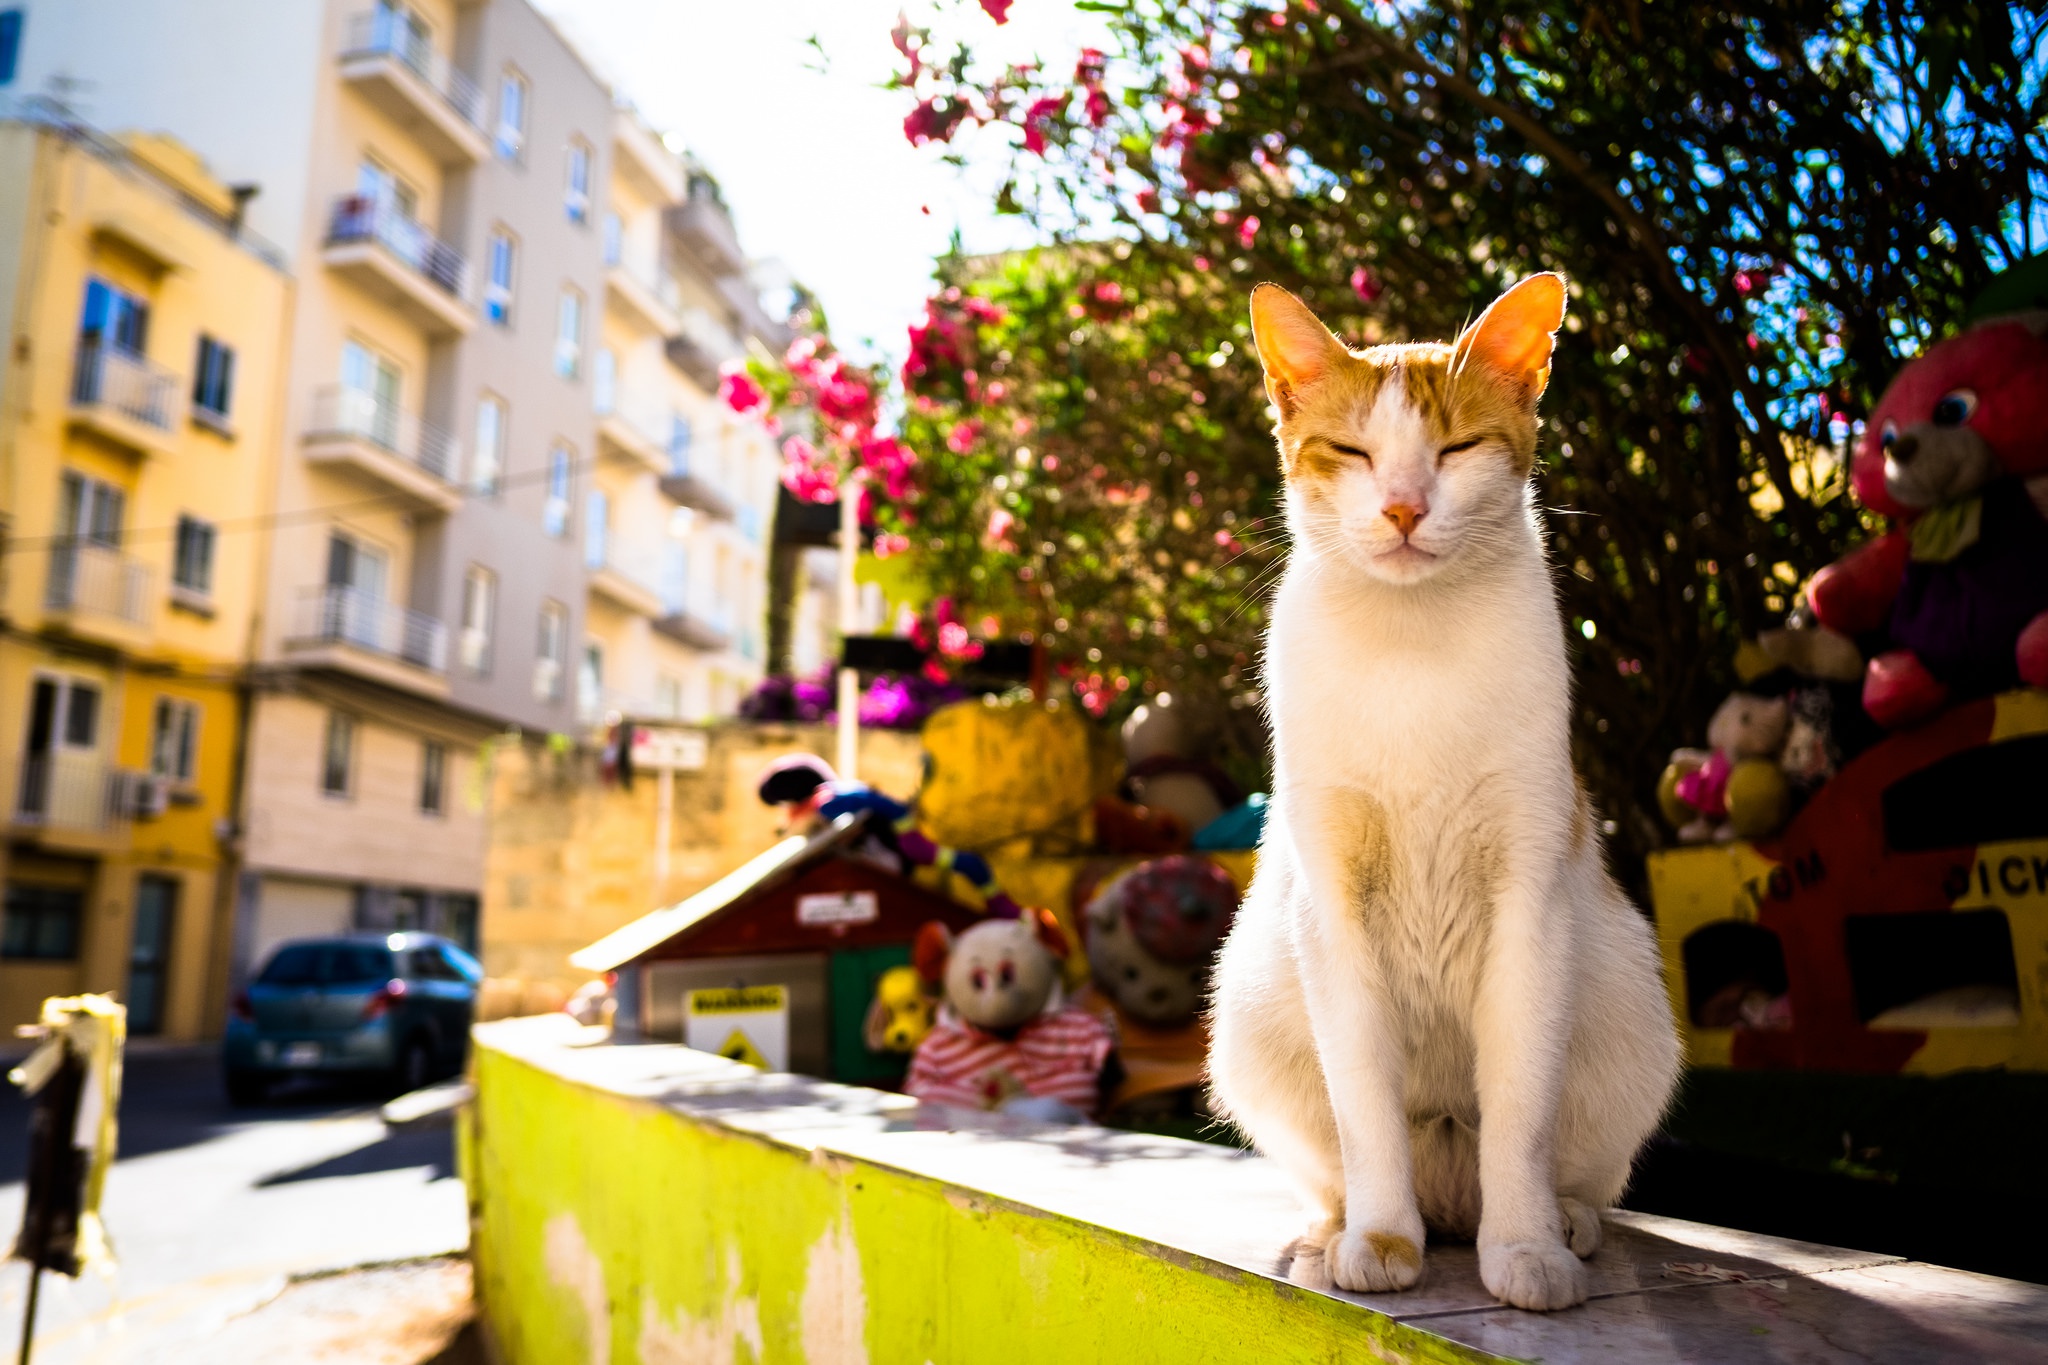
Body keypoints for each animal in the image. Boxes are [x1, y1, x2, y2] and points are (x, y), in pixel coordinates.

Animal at [1204, 272, 1671, 1309]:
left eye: (1455, 449)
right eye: (1353, 451)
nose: (1405, 508)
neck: (1412, 645)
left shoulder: (1530, 902)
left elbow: (1521, 1112)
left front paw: (1526, 1246)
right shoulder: (1331, 909)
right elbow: (1364, 1105)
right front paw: (1381, 1237)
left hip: (1632, 1004)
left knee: (1574, 1167)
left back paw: (1566, 1222)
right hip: (1249, 1008)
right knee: (1336, 1156)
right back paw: (1330, 1230)